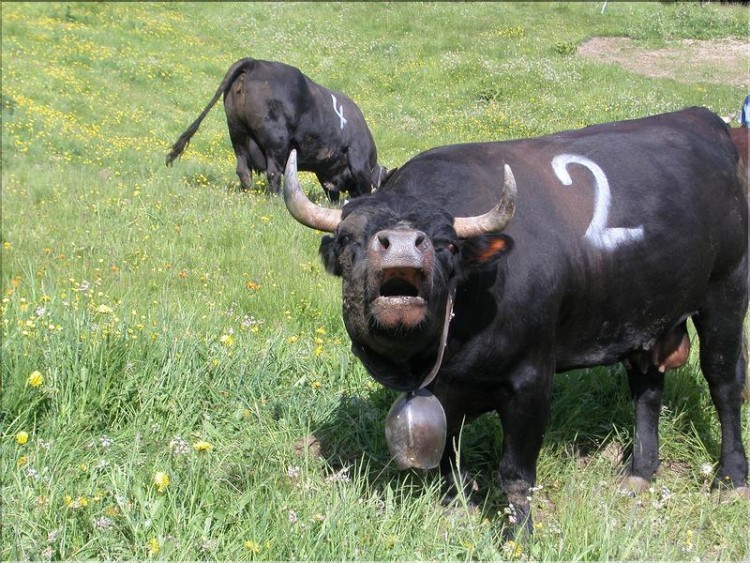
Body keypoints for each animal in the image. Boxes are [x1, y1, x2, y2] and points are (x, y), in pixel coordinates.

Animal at [165, 57, 388, 202]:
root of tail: (255, 63)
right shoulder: (358, 160)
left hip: (237, 132)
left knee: (243, 169)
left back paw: (249, 194)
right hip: (276, 140)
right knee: (273, 172)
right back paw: (277, 200)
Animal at [284, 108, 750, 536]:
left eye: (447, 244)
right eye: (348, 239)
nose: (400, 244)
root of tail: (709, 124)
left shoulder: (532, 381)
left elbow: (515, 473)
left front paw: (520, 533)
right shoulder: (445, 394)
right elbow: (448, 458)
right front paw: (456, 509)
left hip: (726, 294)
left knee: (724, 384)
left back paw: (730, 478)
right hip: (643, 316)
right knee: (647, 388)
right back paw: (639, 472)